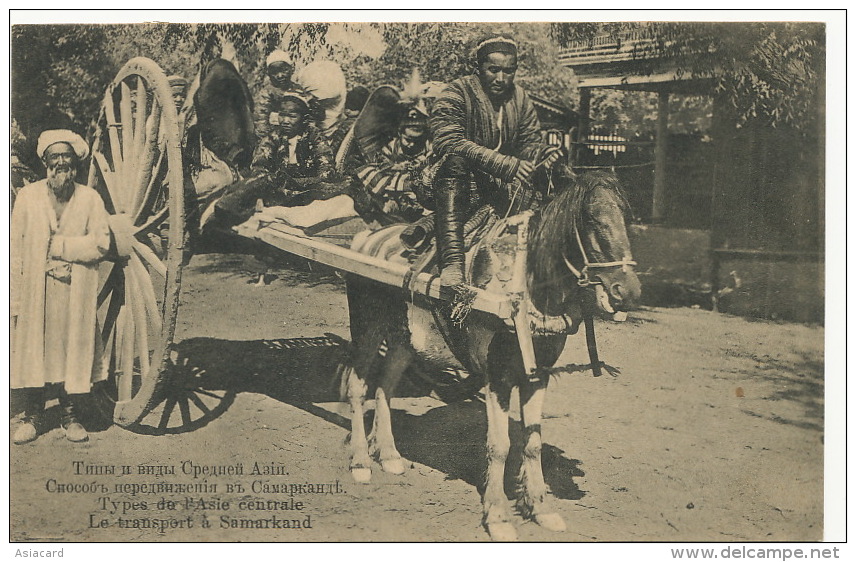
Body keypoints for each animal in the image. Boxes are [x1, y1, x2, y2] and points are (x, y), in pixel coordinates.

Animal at [342, 170, 640, 540]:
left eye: (627, 218)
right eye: (591, 220)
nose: (628, 292)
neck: (526, 289)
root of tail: (365, 237)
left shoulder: (537, 374)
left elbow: (532, 442)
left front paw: (541, 508)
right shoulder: (498, 377)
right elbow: (499, 446)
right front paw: (497, 516)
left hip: (404, 336)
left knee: (385, 385)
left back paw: (389, 454)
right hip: (368, 327)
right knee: (357, 386)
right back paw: (360, 462)